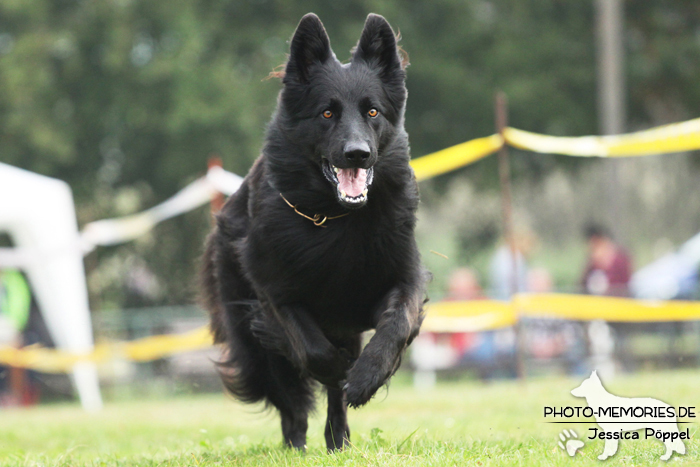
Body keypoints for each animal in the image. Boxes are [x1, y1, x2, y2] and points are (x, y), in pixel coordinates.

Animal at [200, 13, 424, 454]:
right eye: (326, 114)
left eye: (373, 111)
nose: (357, 154)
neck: (338, 219)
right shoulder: (276, 297)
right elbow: (312, 349)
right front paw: (339, 369)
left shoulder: (402, 280)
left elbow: (396, 325)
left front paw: (365, 377)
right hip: (253, 345)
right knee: (291, 402)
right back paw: (297, 444)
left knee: (329, 404)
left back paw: (338, 439)